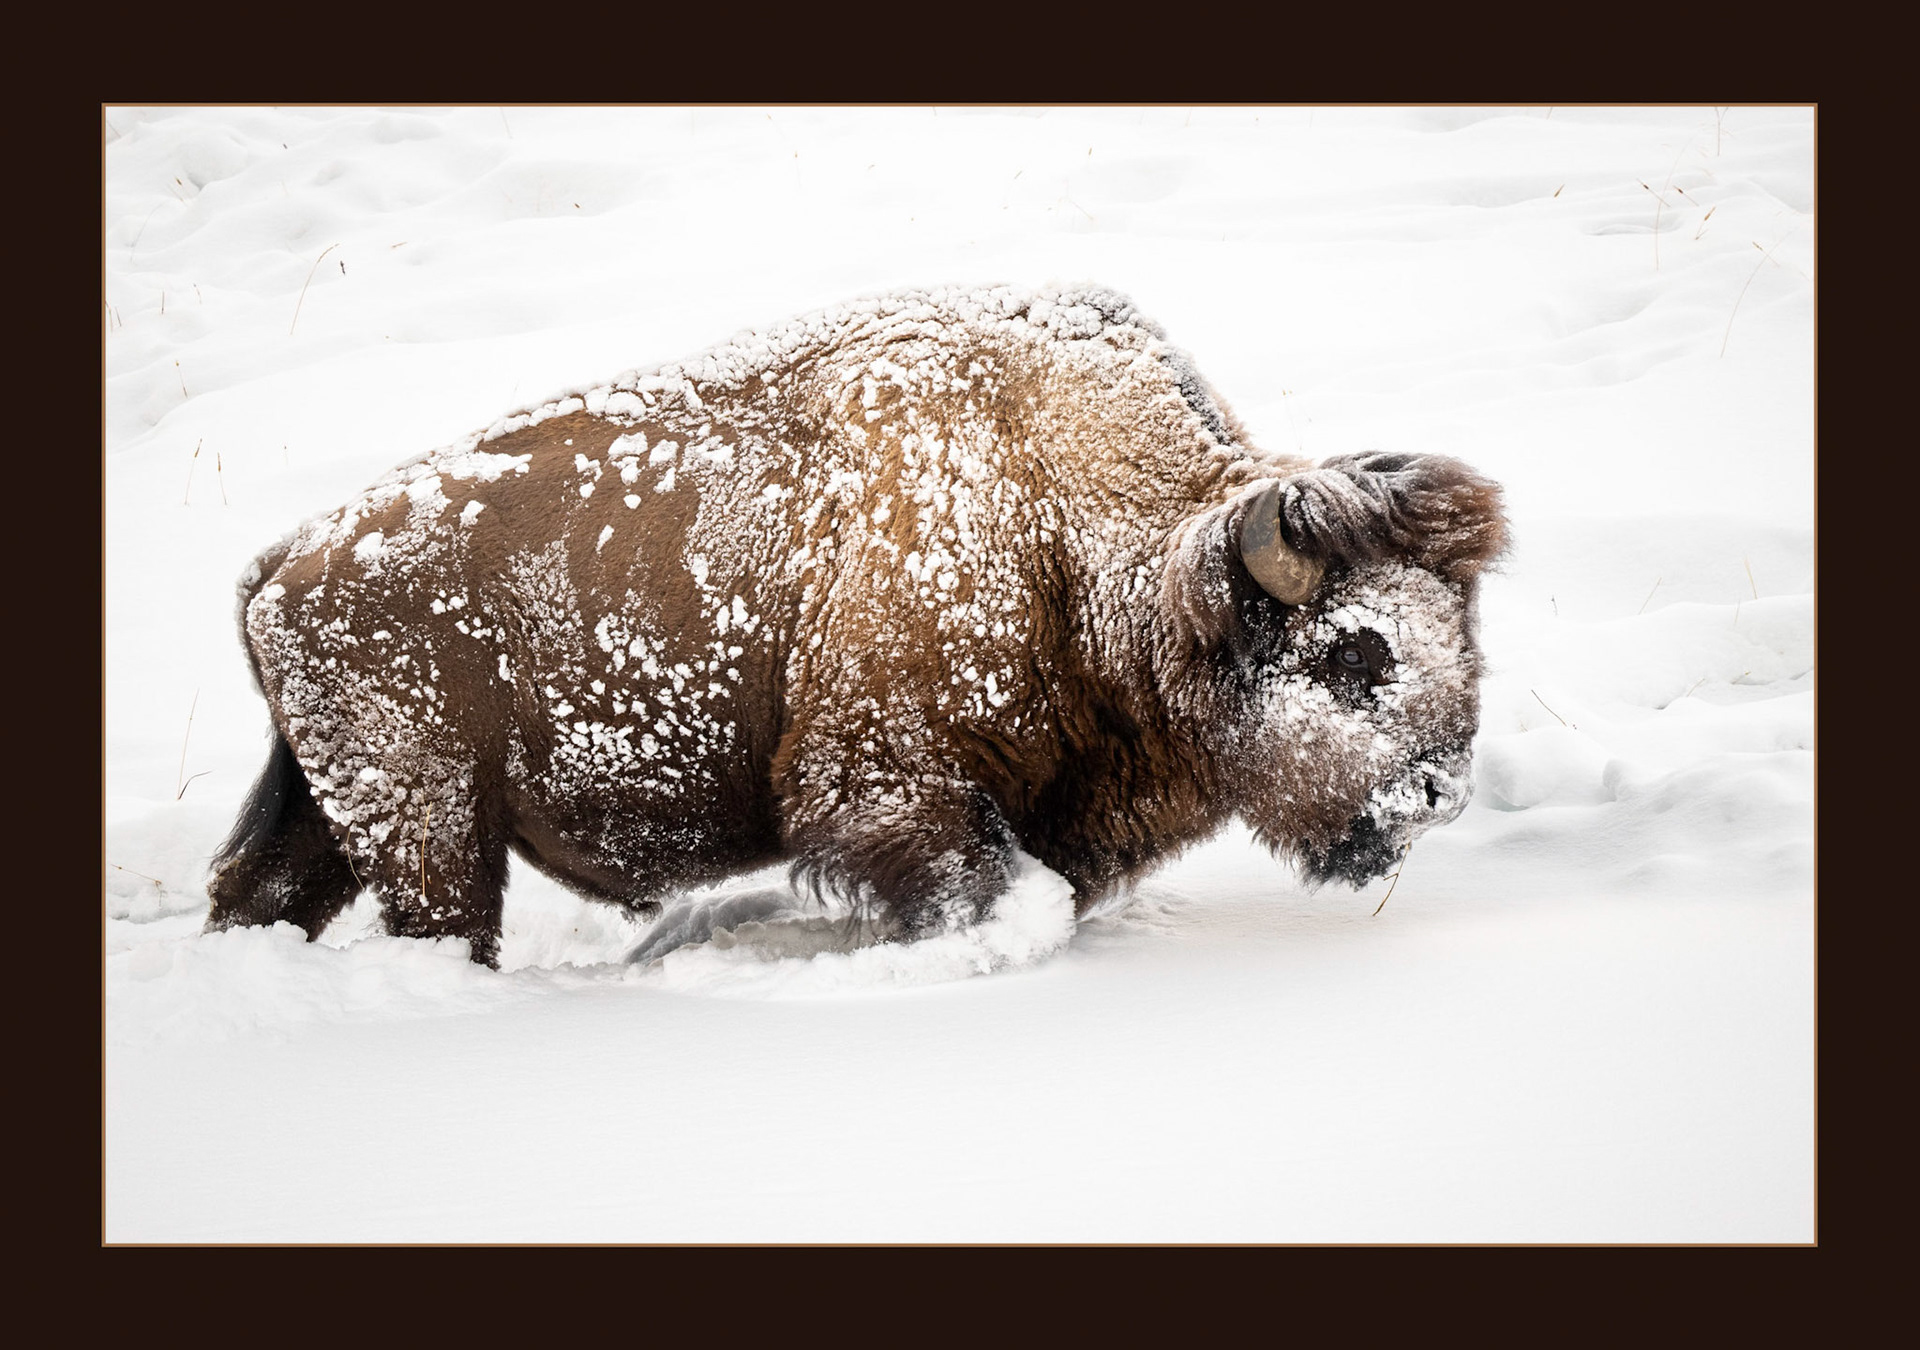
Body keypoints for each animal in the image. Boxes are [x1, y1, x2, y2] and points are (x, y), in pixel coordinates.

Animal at [209, 284, 1508, 966]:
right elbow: (980, 883)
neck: (1063, 513)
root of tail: (282, 563)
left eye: (1465, 630)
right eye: (1356, 651)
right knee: (435, 920)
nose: (1440, 790)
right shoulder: (891, 780)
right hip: (429, 823)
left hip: (329, 815)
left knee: (256, 891)